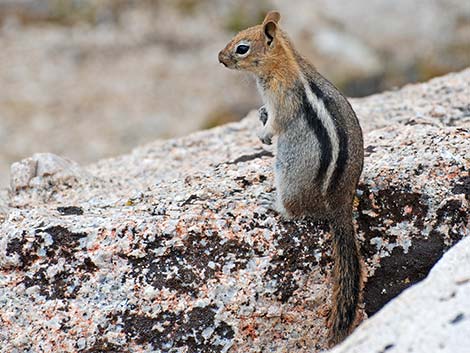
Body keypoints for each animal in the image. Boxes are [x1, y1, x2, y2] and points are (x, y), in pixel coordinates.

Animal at [218, 10, 366, 344]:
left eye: (242, 48)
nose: (220, 58)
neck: (284, 61)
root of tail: (340, 205)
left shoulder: (282, 98)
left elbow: (277, 122)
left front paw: (263, 135)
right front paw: (259, 115)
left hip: (289, 178)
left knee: (295, 211)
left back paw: (272, 203)